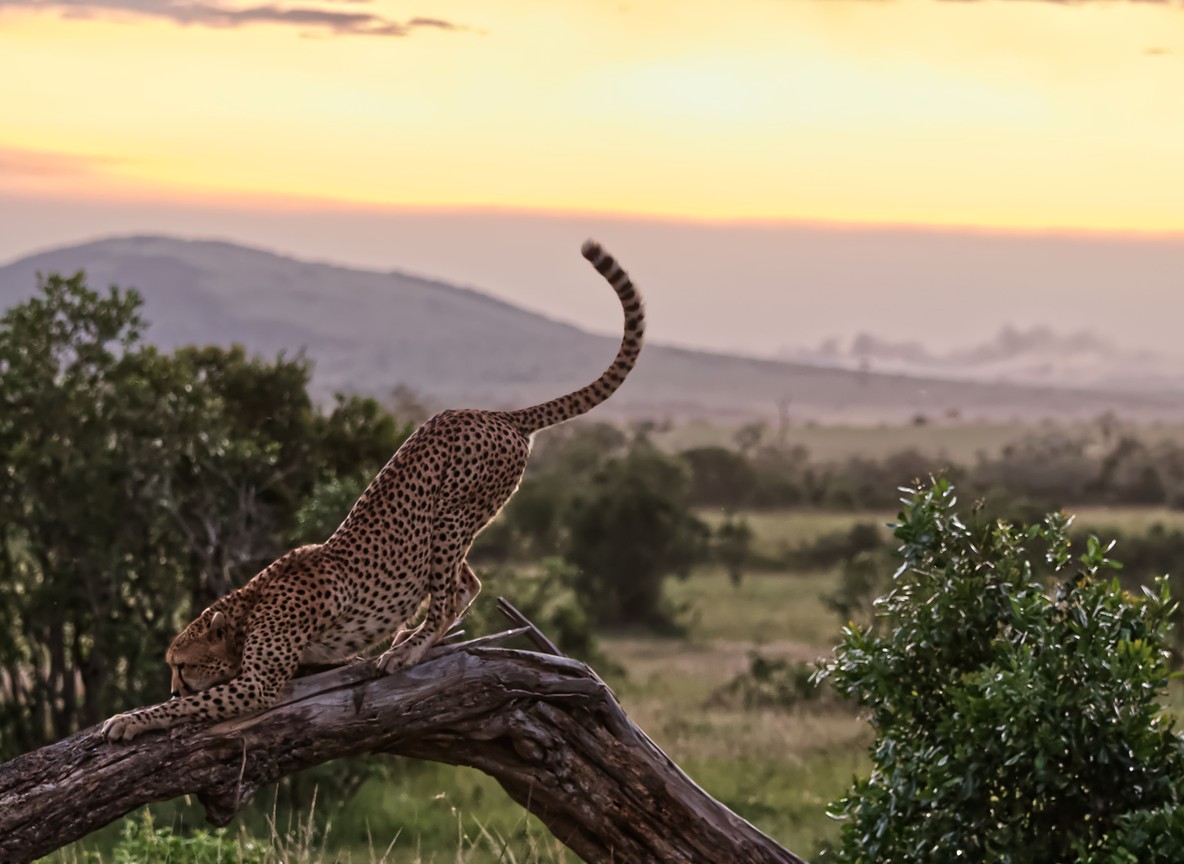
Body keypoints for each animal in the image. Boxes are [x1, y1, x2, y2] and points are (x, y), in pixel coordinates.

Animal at [101, 239, 644, 742]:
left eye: (182, 665)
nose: (173, 687)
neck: (246, 610)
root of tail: (495, 414)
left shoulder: (260, 683)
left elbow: (200, 703)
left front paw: (131, 718)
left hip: (451, 518)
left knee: (449, 593)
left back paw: (407, 650)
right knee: (468, 583)